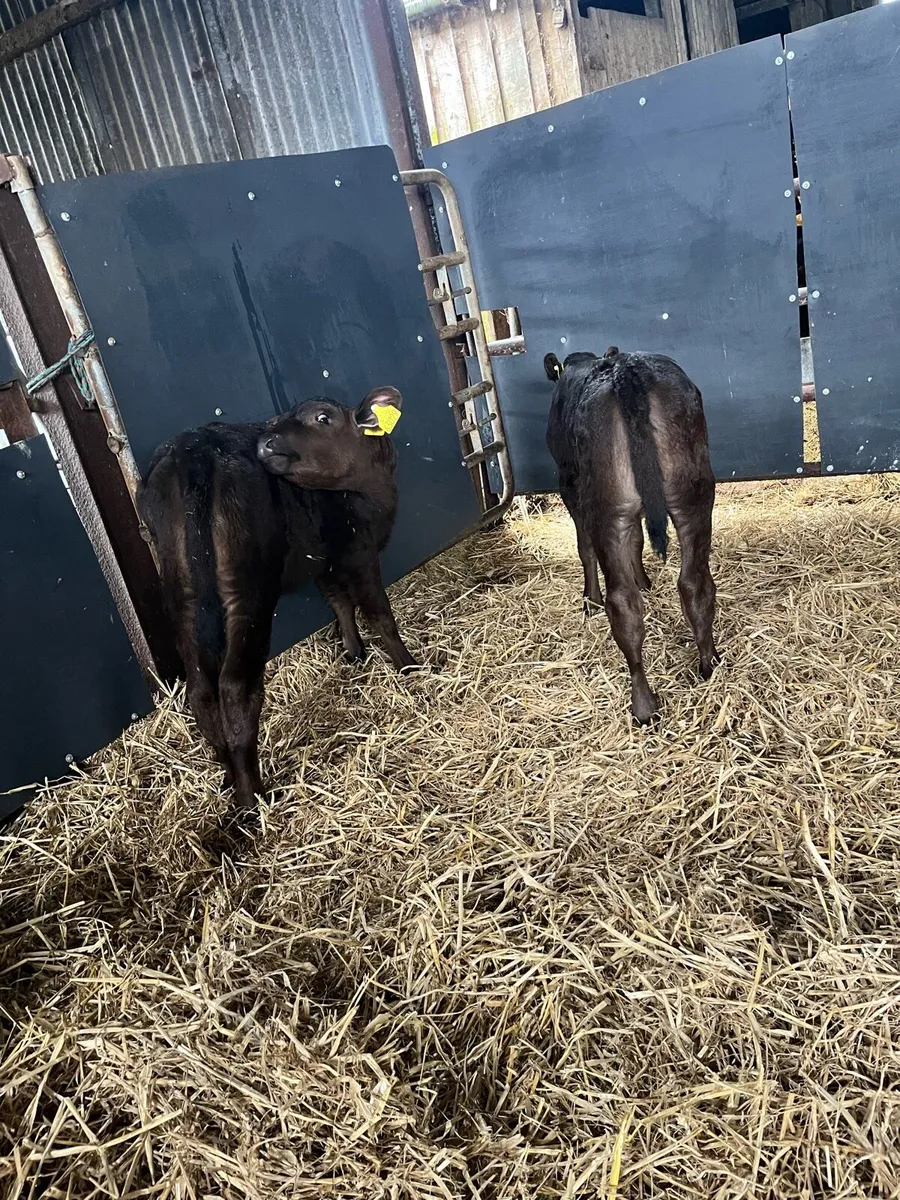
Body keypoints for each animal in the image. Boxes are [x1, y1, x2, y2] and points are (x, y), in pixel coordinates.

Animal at [137, 386, 414, 814]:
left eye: (322, 418)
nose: (266, 442)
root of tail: (192, 448)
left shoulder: (323, 559)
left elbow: (339, 602)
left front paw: (354, 652)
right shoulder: (358, 551)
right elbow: (377, 611)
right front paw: (408, 665)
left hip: (182, 592)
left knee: (201, 690)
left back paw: (230, 777)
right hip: (247, 591)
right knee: (235, 685)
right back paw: (253, 797)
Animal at [544, 347, 718, 724]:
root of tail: (628, 368)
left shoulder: (568, 482)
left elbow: (584, 547)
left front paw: (590, 600)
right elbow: (638, 541)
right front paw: (645, 581)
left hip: (608, 506)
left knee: (623, 604)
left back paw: (643, 705)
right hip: (694, 494)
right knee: (696, 583)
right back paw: (709, 662)